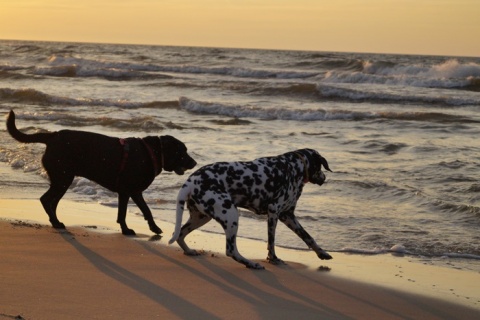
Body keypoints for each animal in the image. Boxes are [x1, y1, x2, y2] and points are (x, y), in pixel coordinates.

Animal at [6, 110, 197, 235]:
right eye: (182, 151)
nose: (194, 163)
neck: (152, 152)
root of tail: (52, 136)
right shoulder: (126, 191)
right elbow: (125, 213)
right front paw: (127, 230)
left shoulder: (134, 192)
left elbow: (145, 210)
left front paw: (154, 228)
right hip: (63, 178)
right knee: (46, 199)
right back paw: (56, 222)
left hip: (63, 179)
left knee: (51, 202)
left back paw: (55, 221)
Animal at [170, 149, 334, 268]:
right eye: (320, 167)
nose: (324, 178)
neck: (294, 167)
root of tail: (190, 182)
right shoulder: (274, 212)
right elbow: (271, 242)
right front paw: (273, 259)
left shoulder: (288, 216)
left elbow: (308, 237)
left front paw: (322, 253)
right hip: (231, 215)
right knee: (231, 250)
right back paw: (251, 264)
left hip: (201, 218)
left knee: (180, 234)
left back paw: (189, 251)